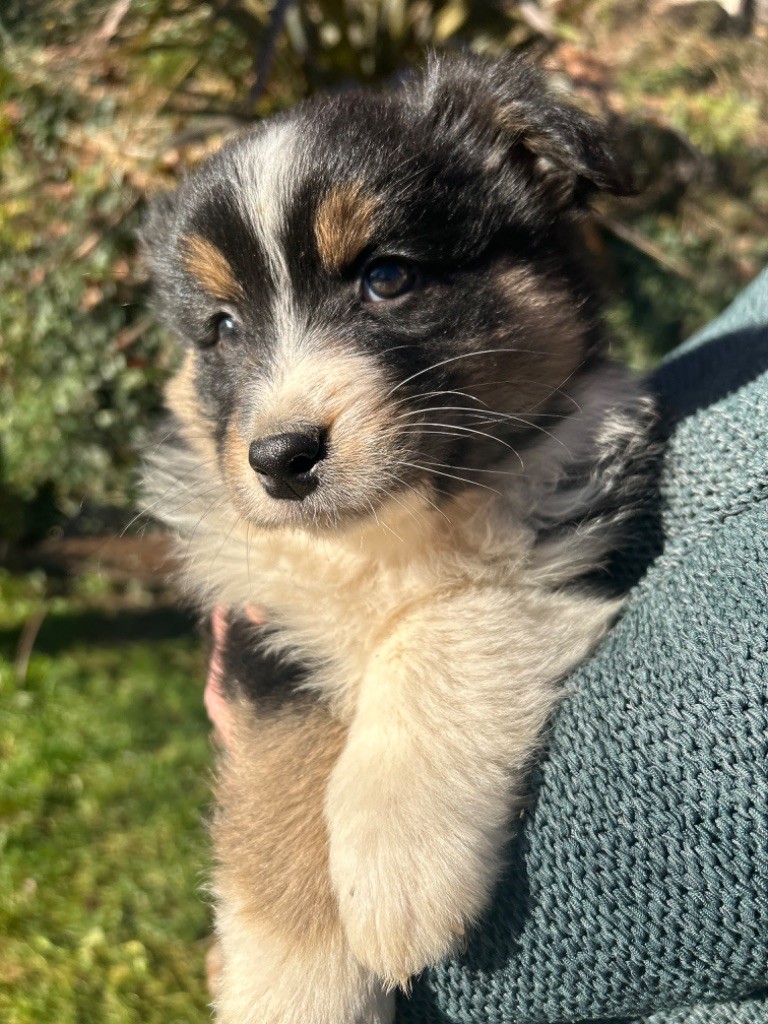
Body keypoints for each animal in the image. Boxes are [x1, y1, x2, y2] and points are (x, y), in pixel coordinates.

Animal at [141, 52, 656, 1024]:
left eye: (386, 277)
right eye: (222, 328)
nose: (280, 458)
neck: (380, 542)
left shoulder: (562, 523)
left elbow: (440, 625)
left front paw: (396, 871)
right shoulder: (266, 627)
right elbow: (277, 784)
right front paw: (290, 986)